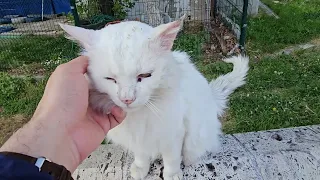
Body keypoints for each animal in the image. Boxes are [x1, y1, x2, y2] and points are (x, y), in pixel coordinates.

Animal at [60, 15, 250, 180]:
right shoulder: (139, 138)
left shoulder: (174, 133)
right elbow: (141, 155)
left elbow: (172, 158)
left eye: (144, 76)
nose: (127, 99)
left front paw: (172, 174)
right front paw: (141, 168)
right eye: (110, 79)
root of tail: (212, 95)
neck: (140, 116)